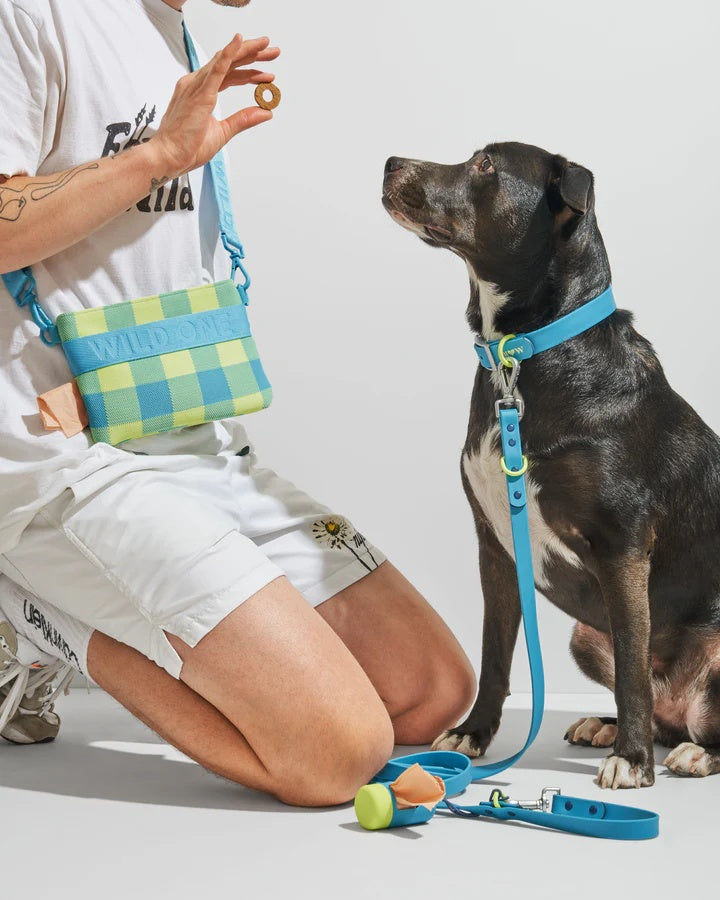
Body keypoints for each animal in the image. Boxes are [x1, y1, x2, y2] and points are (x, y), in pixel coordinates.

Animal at [382, 141, 720, 788]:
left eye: (486, 165)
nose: (389, 163)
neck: (521, 356)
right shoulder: (495, 545)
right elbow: (494, 653)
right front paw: (473, 733)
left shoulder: (623, 547)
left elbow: (633, 666)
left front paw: (632, 762)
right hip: (585, 637)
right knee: (653, 705)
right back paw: (611, 727)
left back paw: (686, 751)